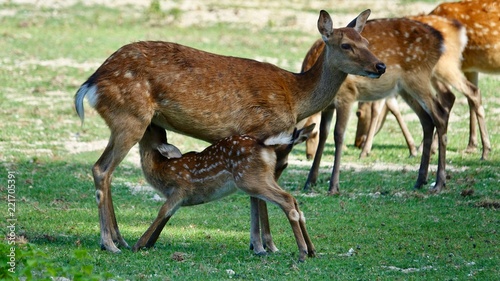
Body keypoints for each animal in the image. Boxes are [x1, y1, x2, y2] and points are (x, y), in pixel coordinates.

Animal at [132, 122, 312, 260]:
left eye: (150, 129)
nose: (150, 122)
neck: (161, 168)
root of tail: (265, 145)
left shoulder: (180, 188)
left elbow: (162, 211)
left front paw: (138, 244)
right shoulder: (179, 198)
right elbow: (167, 215)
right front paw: (150, 243)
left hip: (248, 179)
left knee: (286, 200)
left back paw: (302, 253)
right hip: (265, 177)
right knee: (293, 199)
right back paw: (312, 251)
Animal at [298, 18, 452, 195]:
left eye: (310, 134)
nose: (308, 155)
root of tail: (441, 42)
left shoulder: (347, 96)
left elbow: (338, 134)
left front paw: (333, 186)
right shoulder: (328, 106)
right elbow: (325, 134)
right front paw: (310, 181)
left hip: (418, 76)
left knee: (440, 114)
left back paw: (439, 182)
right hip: (405, 87)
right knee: (426, 120)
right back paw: (420, 180)